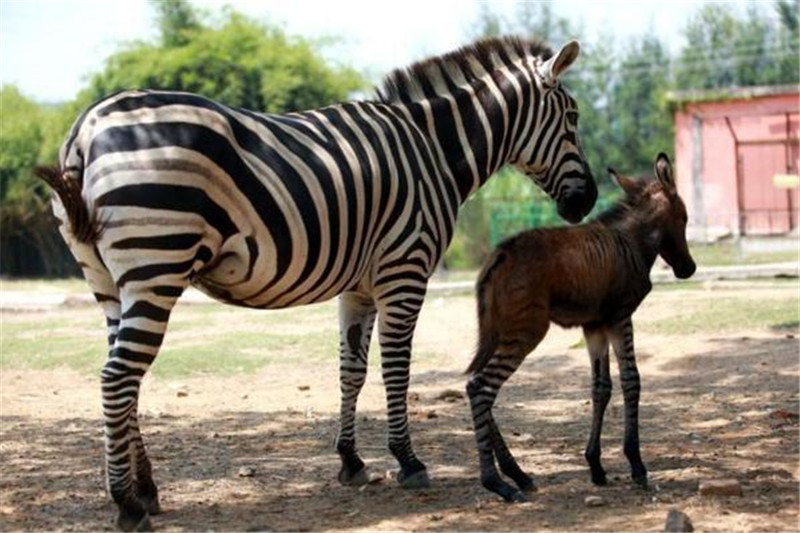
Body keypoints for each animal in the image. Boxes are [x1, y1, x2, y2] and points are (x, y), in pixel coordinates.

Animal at [39, 35, 592, 528]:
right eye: (573, 119)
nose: (584, 203)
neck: (433, 150)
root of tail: (86, 128)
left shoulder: (360, 285)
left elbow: (352, 370)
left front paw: (351, 461)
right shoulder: (405, 269)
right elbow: (396, 370)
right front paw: (408, 460)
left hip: (109, 281)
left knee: (125, 379)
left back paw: (147, 490)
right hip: (156, 265)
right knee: (117, 378)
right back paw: (127, 503)